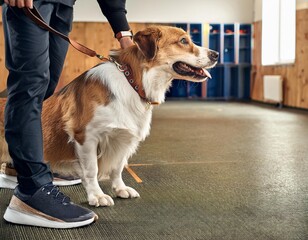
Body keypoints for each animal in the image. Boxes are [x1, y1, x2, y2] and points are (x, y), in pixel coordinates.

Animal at [0, 25, 219, 206]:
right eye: (183, 41)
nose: (216, 54)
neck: (133, 82)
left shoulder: (122, 139)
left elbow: (117, 167)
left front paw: (120, 189)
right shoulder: (86, 137)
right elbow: (92, 170)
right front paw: (96, 196)